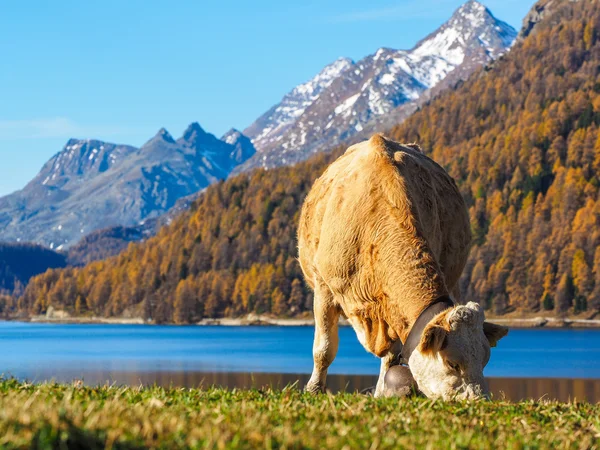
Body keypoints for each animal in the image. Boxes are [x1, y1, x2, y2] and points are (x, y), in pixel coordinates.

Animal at [298, 134, 508, 400]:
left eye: (485, 360)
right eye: (452, 363)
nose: (480, 400)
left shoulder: (393, 307)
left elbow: (391, 356)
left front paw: (381, 393)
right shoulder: (324, 286)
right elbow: (324, 348)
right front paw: (314, 389)